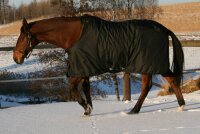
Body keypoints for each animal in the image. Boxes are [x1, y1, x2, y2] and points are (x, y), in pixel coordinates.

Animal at [13, 15, 185, 116]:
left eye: (22, 38)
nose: (16, 58)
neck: (74, 35)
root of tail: (164, 29)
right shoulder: (84, 69)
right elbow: (86, 89)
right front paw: (88, 110)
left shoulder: (80, 70)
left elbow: (72, 87)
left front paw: (86, 108)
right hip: (154, 65)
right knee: (170, 80)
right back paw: (181, 106)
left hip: (147, 64)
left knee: (148, 86)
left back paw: (134, 110)